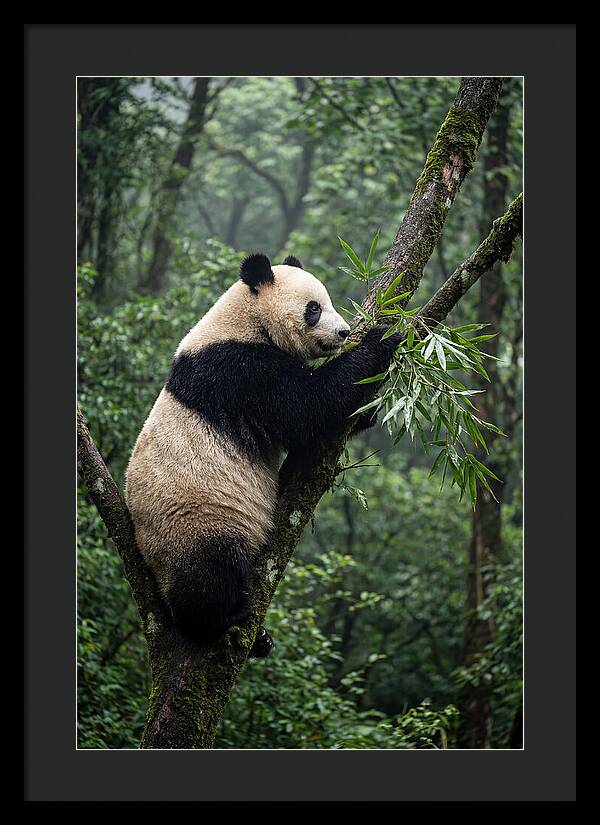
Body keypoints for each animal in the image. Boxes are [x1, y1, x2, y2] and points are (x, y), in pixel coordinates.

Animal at [125, 254, 401, 657]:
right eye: (314, 309)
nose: (344, 333)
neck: (245, 320)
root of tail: (150, 564)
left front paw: (367, 410)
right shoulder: (238, 370)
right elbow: (308, 406)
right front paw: (382, 338)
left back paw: (261, 639)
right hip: (194, 521)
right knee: (210, 573)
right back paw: (224, 617)